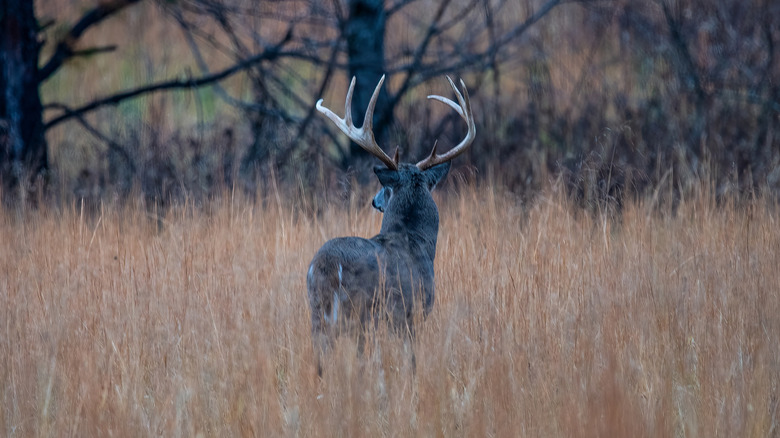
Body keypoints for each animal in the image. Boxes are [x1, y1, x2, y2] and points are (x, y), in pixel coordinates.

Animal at [307, 75, 475, 376]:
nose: (374, 201)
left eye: (384, 189)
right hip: (362, 313)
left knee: (321, 362)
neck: (415, 241)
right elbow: (411, 361)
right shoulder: (412, 313)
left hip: (317, 313)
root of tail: (327, 266)